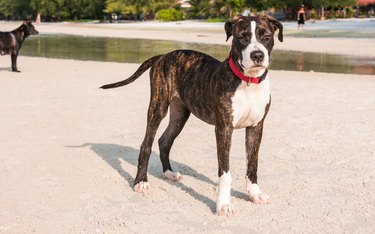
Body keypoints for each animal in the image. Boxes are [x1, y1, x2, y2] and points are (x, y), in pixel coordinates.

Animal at [101, 15, 284, 216]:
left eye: (266, 36)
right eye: (242, 37)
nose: (257, 55)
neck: (248, 82)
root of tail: (163, 56)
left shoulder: (256, 127)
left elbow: (253, 164)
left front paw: (255, 193)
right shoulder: (224, 129)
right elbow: (225, 172)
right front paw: (224, 204)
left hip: (180, 113)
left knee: (164, 140)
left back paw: (169, 172)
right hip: (158, 107)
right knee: (146, 145)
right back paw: (141, 181)